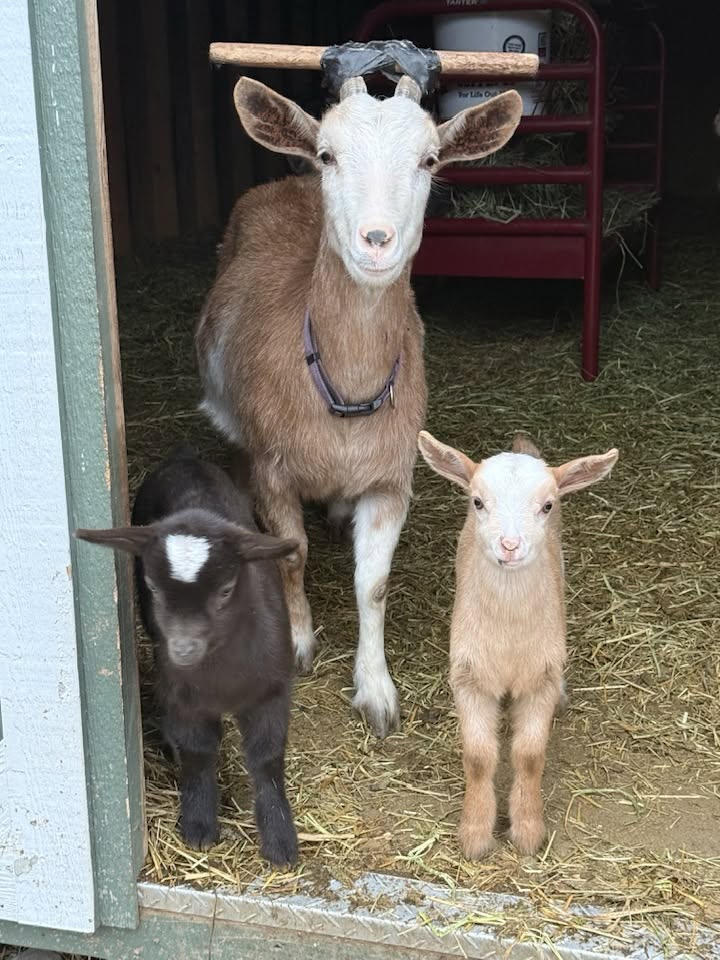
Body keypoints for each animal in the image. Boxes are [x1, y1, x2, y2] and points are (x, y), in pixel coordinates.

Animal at [76, 447, 299, 865]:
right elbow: (197, 751)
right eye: (152, 587)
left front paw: (280, 840)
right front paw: (198, 824)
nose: (182, 648)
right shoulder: (184, 696)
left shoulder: (272, 691)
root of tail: (184, 458)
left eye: (226, 590)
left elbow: (267, 758)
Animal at [195, 73, 523, 737]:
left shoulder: (391, 479)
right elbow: (292, 558)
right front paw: (298, 645)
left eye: (429, 160)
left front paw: (375, 689)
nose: (376, 241)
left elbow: (373, 586)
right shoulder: (274, 469)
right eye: (328, 154)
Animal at [418, 430, 618, 857]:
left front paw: (527, 830)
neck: (509, 639)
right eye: (477, 501)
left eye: (547, 505)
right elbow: (479, 757)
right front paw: (476, 833)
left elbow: (528, 756)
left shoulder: (540, 678)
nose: (510, 545)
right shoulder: (469, 675)